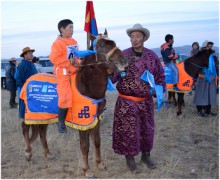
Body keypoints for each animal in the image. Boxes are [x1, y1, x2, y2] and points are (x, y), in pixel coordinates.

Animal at [21, 30, 127, 178]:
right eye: (101, 45)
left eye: (114, 43)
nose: (124, 61)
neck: (87, 86)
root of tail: (28, 80)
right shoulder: (82, 122)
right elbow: (85, 145)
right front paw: (87, 170)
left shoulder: (95, 119)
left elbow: (97, 141)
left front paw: (99, 164)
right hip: (30, 113)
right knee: (25, 128)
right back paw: (28, 153)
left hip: (43, 114)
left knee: (42, 131)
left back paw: (47, 153)